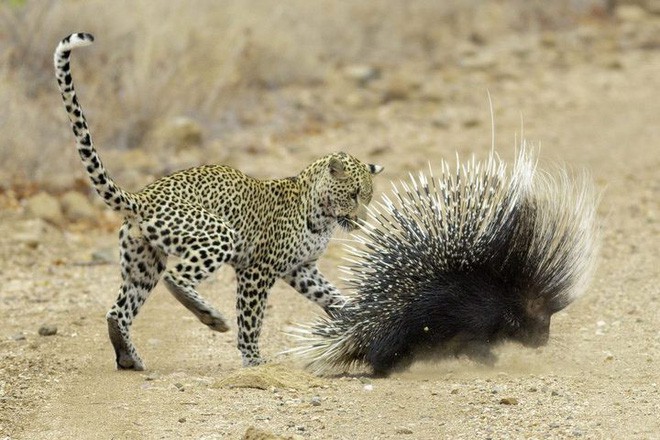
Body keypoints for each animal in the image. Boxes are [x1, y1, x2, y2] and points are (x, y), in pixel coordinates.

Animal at [54, 32, 384, 372]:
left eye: (368, 198)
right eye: (353, 194)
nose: (361, 221)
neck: (321, 217)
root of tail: (142, 197)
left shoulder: (301, 269)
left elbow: (333, 296)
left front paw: (356, 318)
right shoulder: (256, 270)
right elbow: (251, 319)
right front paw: (253, 359)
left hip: (143, 263)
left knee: (118, 311)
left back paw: (128, 356)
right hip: (218, 233)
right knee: (176, 278)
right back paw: (211, 318)